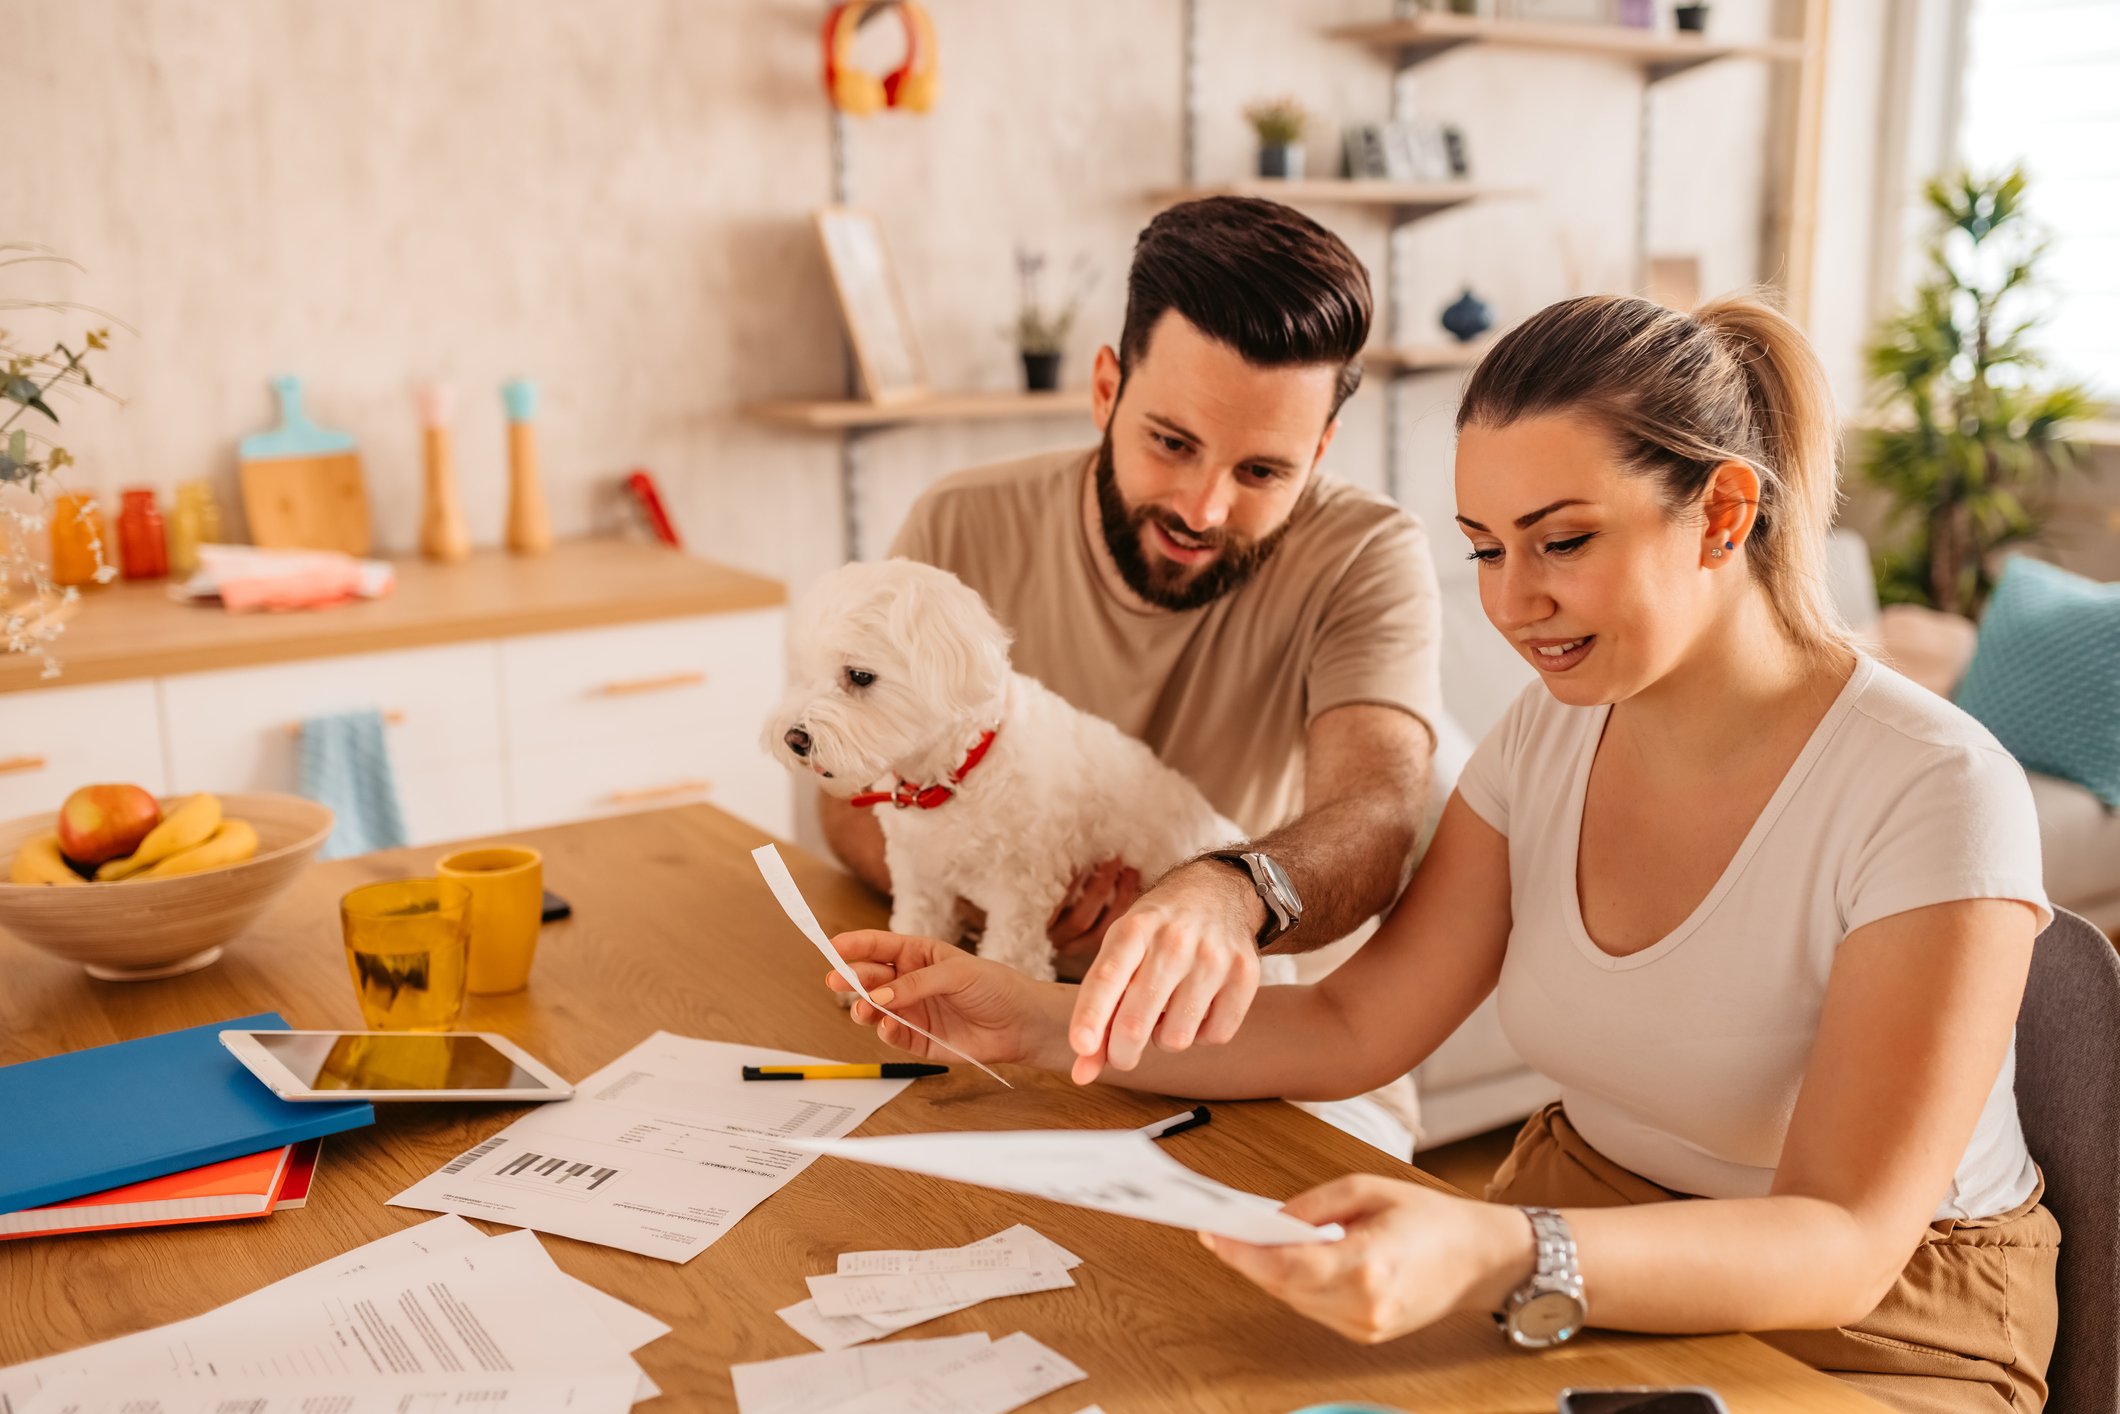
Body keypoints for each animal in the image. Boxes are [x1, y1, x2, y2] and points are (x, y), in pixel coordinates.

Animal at [767, 555, 1280, 983]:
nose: (794, 738)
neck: (955, 779)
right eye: (804, 672)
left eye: (859, 676)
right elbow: (915, 924)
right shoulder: (919, 876)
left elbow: (1011, 961)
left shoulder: (1020, 896)